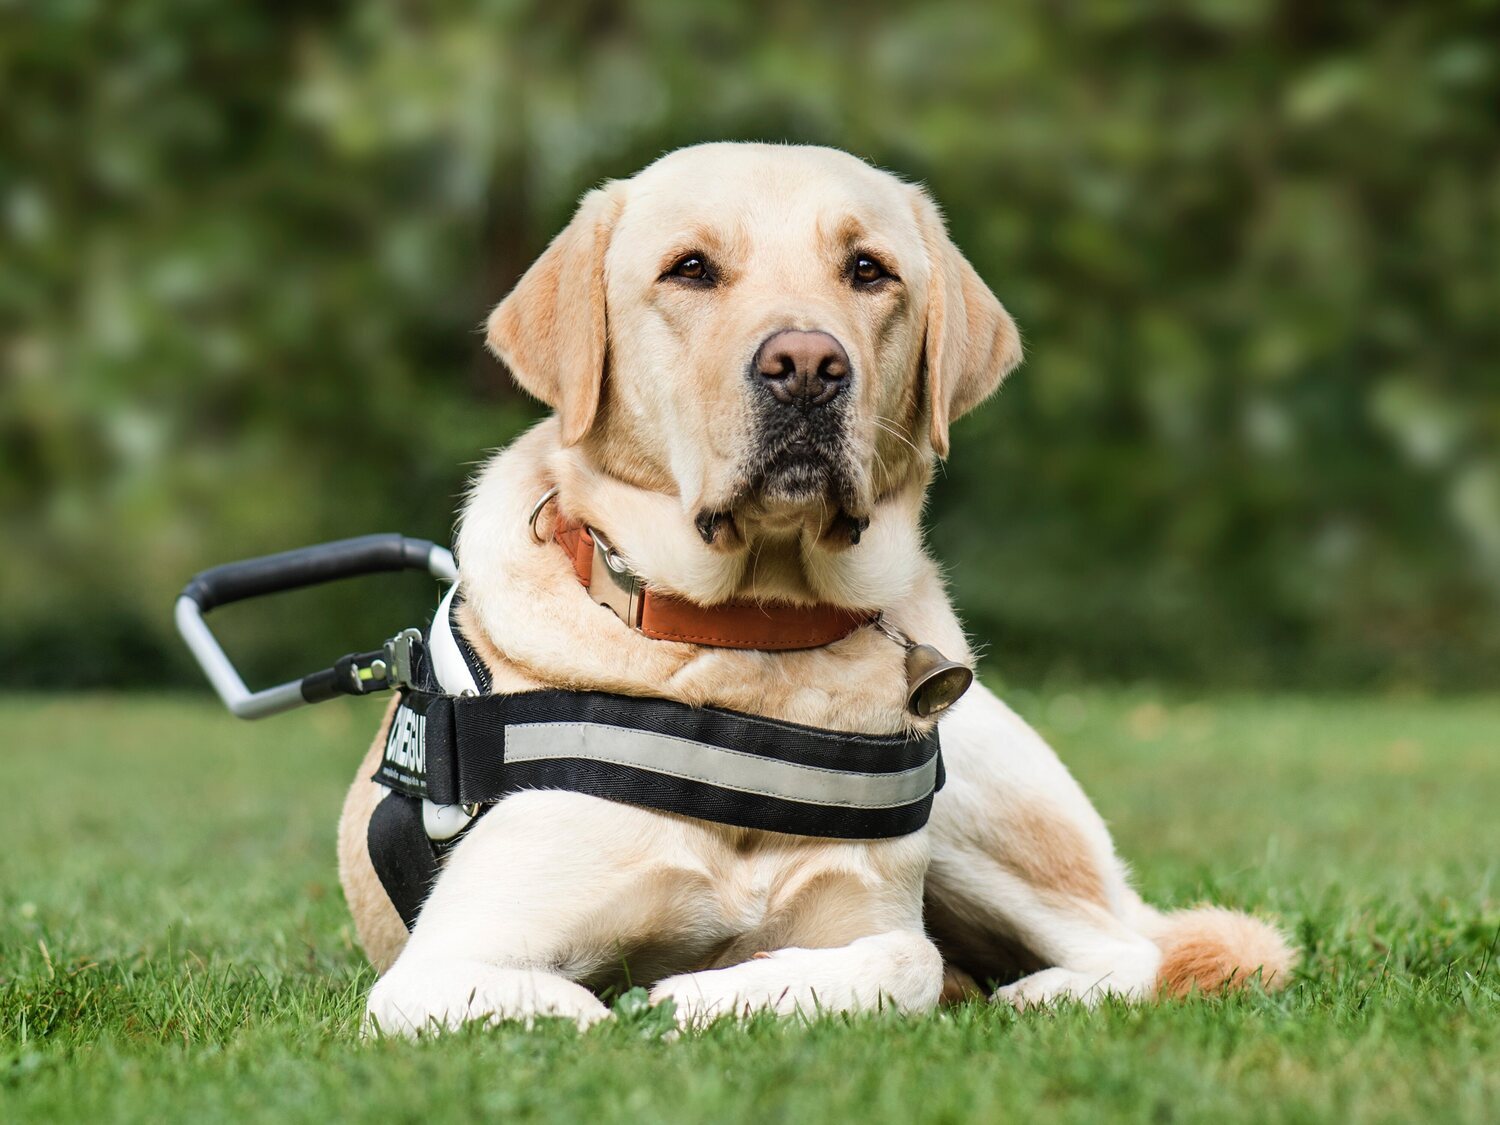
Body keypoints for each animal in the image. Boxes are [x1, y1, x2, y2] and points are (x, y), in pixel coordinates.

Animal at [337, 143, 1290, 1038]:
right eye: (690, 268)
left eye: (867, 269)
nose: (805, 364)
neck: (754, 637)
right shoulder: (438, 966)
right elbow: (581, 1008)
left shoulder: (873, 911)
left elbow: (904, 960)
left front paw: (708, 995)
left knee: (1132, 950)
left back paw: (1034, 993)